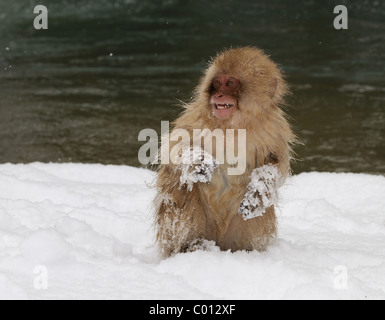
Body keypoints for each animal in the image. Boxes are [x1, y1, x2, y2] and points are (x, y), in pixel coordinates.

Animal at [153, 47, 294, 258]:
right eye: (217, 83)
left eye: (230, 83)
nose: (218, 95)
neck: (233, 125)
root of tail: (218, 242)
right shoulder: (197, 116)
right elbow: (172, 147)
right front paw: (197, 160)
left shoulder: (275, 127)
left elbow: (276, 163)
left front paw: (259, 191)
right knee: (183, 184)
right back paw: (192, 245)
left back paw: (245, 250)